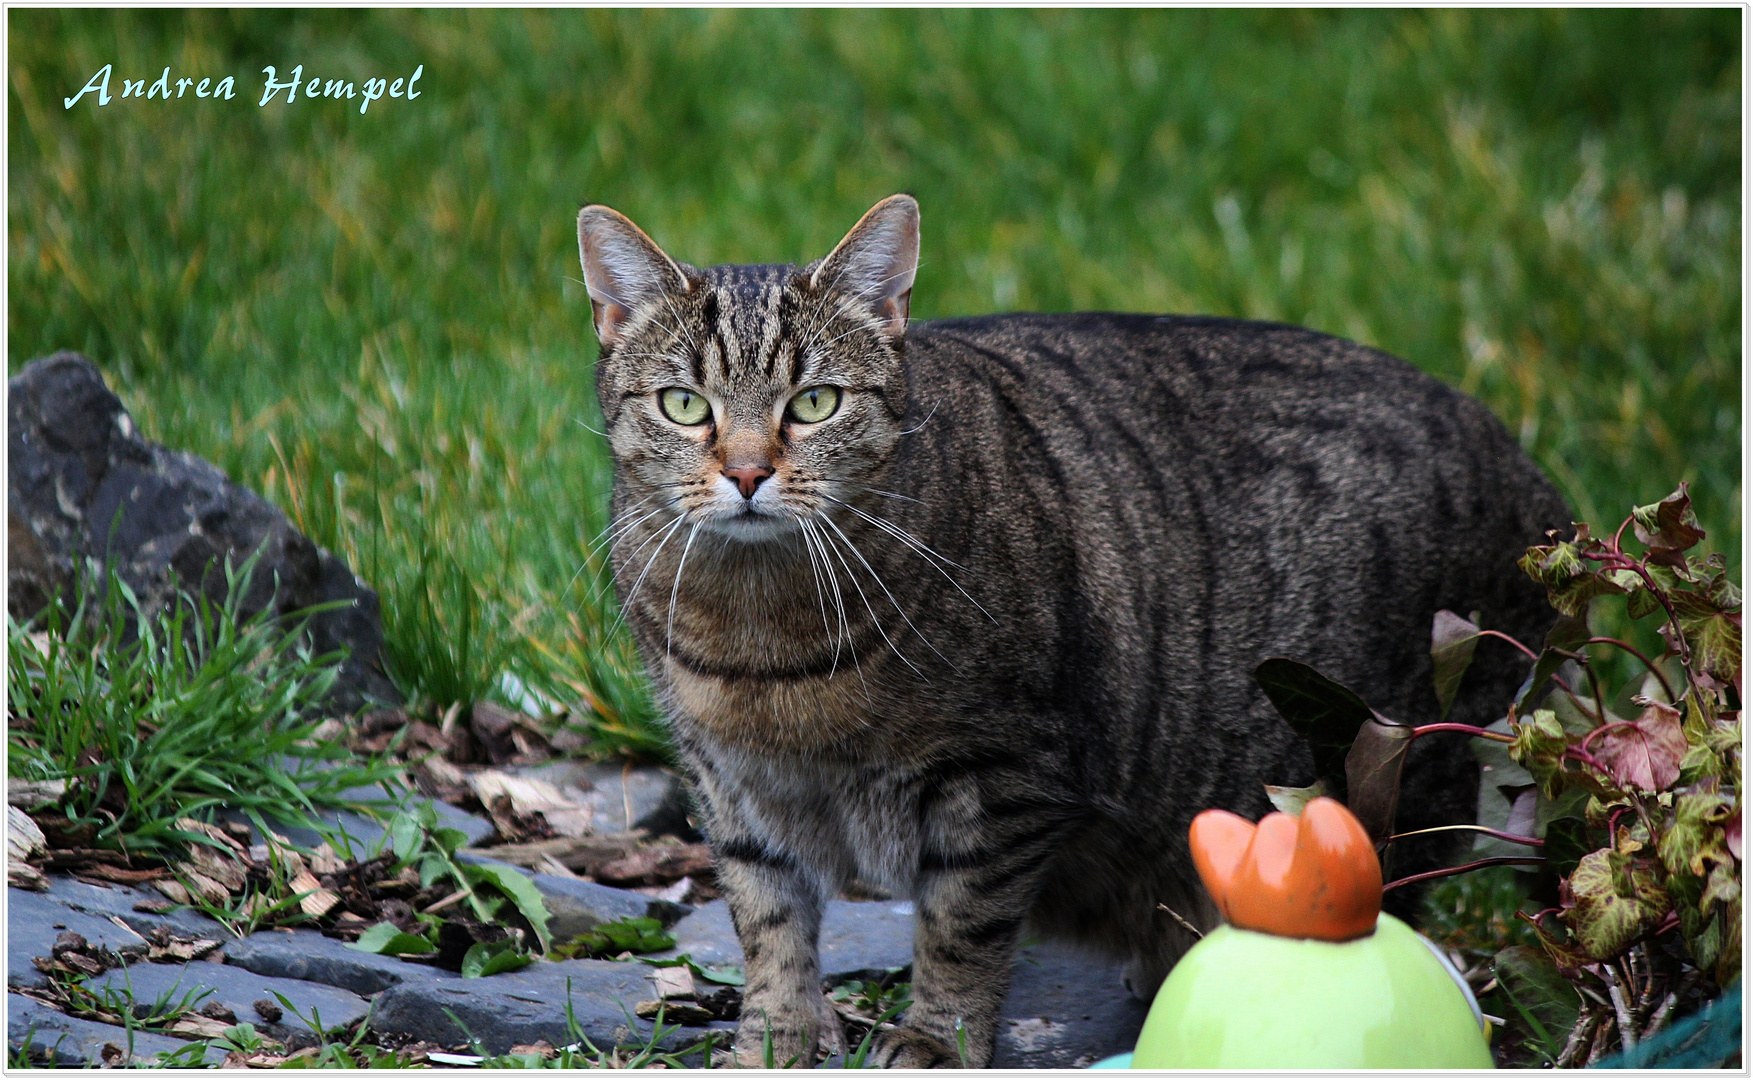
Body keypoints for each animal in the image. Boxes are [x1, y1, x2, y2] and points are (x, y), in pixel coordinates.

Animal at [578, 196, 1577, 1072]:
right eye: (683, 405)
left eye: (816, 402)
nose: (747, 472)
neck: (761, 638)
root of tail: (1540, 489)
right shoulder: (731, 790)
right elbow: (769, 932)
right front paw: (771, 1043)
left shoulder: (1003, 781)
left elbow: (959, 931)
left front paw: (937, 1039)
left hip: (1388, 781)